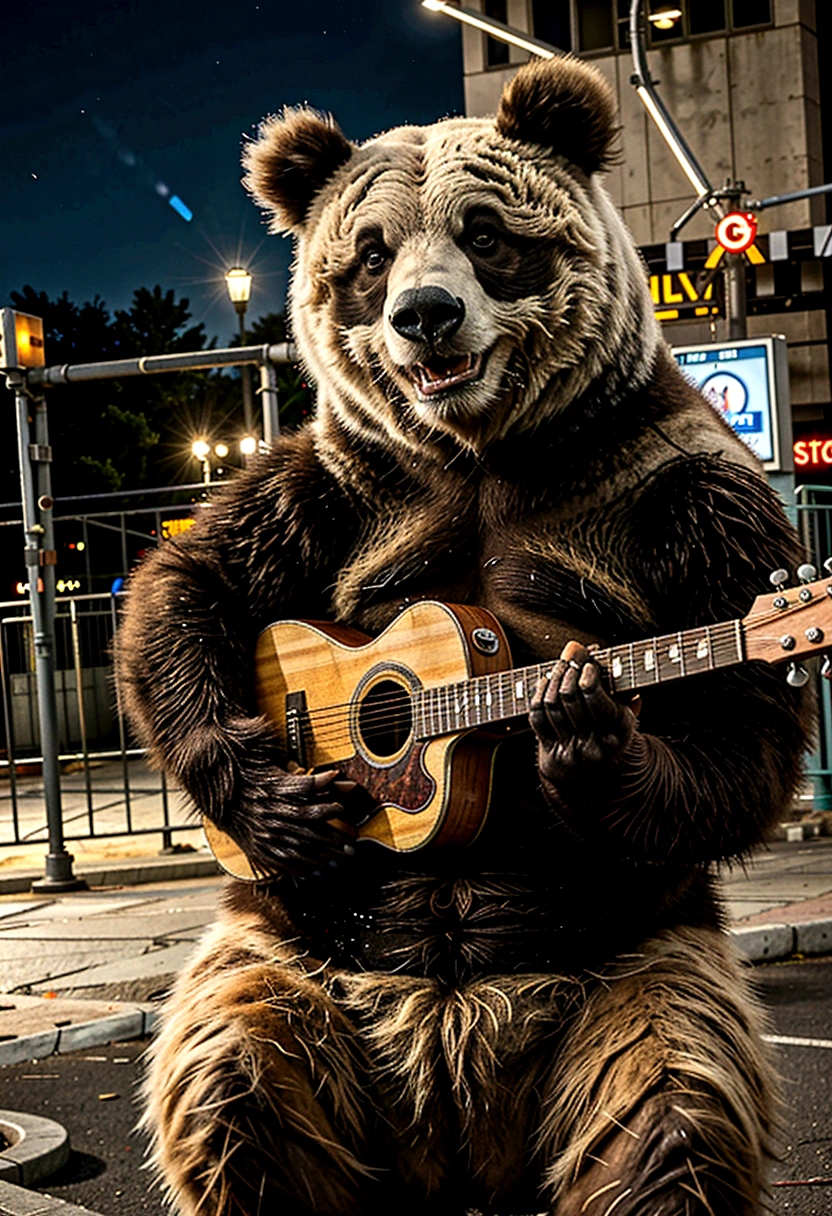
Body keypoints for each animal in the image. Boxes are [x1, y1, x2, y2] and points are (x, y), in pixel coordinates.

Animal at [116, 54, 812, 1216]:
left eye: (486, 234)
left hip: (618, 981)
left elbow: (739, 731)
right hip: (308, 960)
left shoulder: (688, 489)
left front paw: (594, 734)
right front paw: (264, 791)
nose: (424, 314)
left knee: (665, 1115)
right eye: (371, 255)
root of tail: (455, 1138)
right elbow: (190, 577)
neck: (478, 446)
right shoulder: (338, 476)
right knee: (239, 1078)